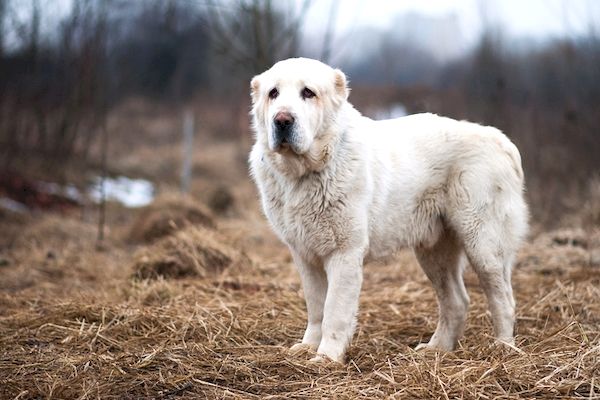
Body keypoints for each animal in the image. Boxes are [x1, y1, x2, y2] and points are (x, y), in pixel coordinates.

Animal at [246, 57, 528, 364]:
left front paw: (326, 358)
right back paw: (437, 349)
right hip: (434, 252)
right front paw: (309, 347)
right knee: (456, 301)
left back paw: (503, 348)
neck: (307, 171)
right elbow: (316, 306)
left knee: (503, 298)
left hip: (484, 244)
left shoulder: (344, 253)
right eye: (273, 93)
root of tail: (500, 138)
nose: (282, 120)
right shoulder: (305, 254)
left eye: (308, 92)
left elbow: (334, 310)